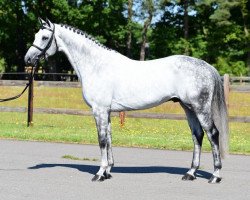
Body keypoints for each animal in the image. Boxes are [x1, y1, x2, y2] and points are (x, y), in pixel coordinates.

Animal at [24, 18, 229, 183]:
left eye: (44, 37)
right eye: (35, 35)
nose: (28, 59)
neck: (96, 65)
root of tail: (207, 66)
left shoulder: (99, 110)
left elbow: (101, 140)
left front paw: (99, 174)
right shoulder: (106, 111)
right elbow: (109, 138)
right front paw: (107, 171)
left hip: (200, 108)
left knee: (212, 134)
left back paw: (215, 176)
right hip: (188, 108)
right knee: (197, 135)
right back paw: (191, 173)